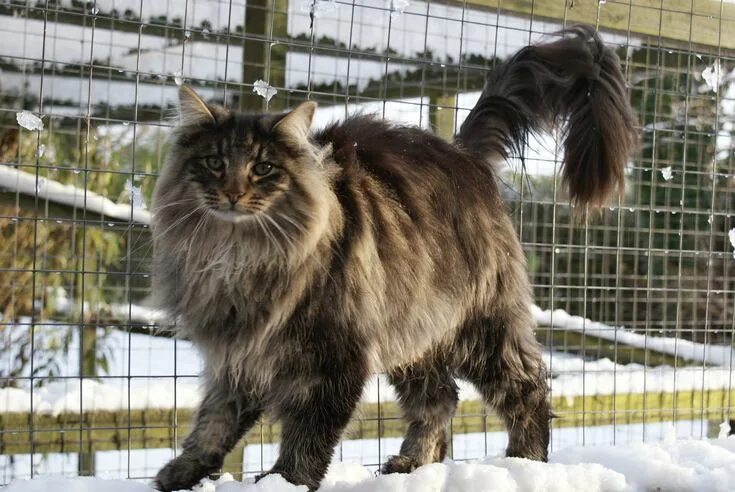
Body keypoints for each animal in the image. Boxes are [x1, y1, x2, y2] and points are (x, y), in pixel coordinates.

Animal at [152, 26, 636, 492]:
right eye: (214, 163)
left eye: (263, 168)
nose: (233, 193)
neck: (238, 256)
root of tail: (463, 155)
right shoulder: (238, 354)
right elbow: (214, 421)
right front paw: (183, 471)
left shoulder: (333, 359)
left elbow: (307, 439)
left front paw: (284, 483)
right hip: (414, 331)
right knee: (440, 399)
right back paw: (414, 464)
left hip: (483, 328)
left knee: (527, 391)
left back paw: (524, 464)